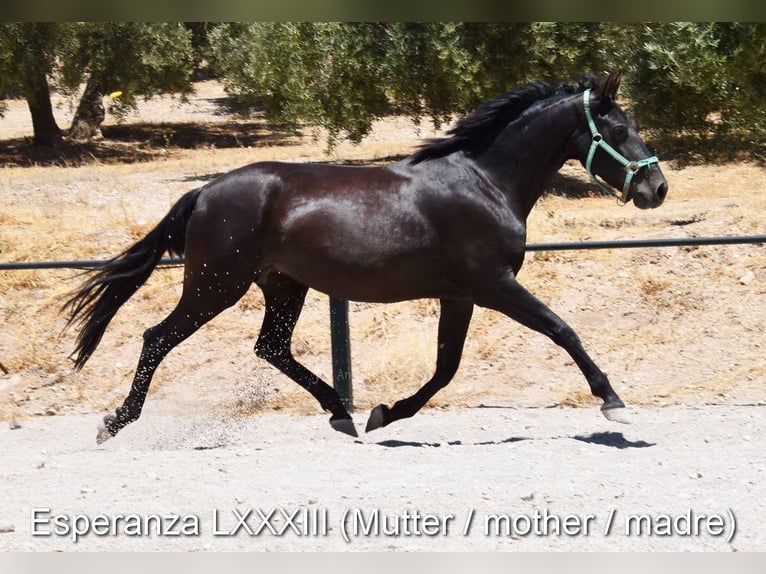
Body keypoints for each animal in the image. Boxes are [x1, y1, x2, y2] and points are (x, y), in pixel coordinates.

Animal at [64, 71, 668, 443]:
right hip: (217, 286)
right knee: (157, 338)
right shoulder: (494, 286)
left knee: (271, 348)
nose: (656, 188)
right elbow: (561, 329)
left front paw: (383, 414)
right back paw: (114, 423)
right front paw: (611, 398)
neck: (484, 182)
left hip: (282, 285)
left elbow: (445, 369)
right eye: (618, 128)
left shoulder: (460, 295)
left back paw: (342, 413)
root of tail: (205, 192)